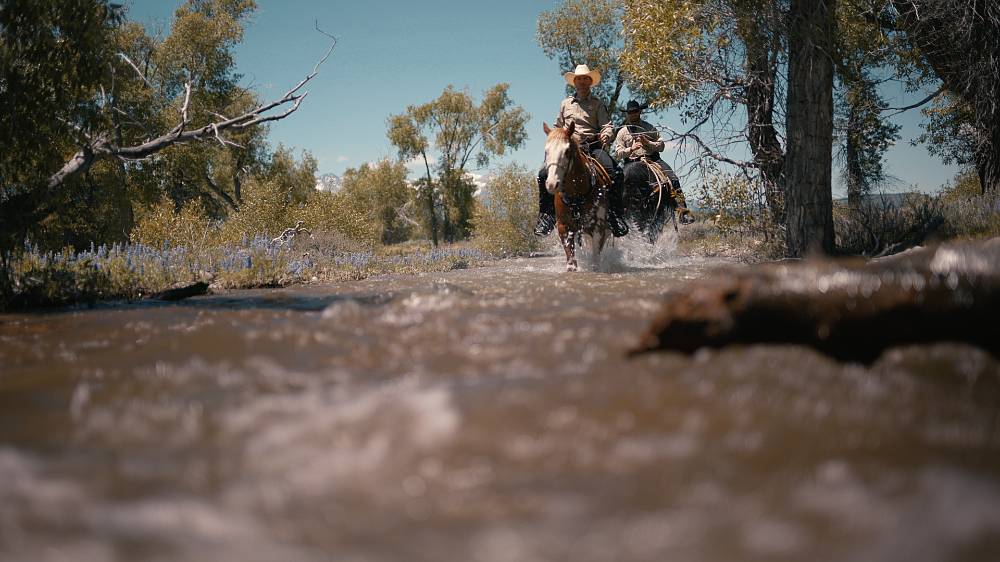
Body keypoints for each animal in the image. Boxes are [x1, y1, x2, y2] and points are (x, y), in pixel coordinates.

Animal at [544, 121, 612, 272]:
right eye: (546, 151)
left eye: (567, 151)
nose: (552, 184)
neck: (576, 195)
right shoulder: (564, 227)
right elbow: (571, 262)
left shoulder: (598, 228)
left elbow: (595, 261)